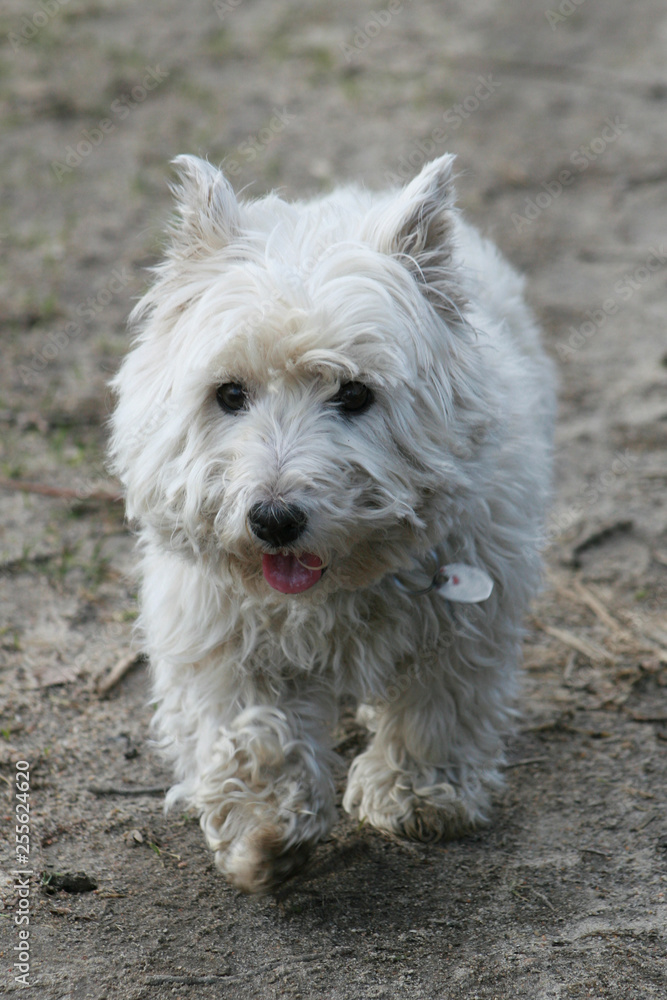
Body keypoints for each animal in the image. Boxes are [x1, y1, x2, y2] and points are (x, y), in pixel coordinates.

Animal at [109, 154, 556, 892]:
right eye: (229, 393)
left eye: (354, 393)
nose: (273, 518)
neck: (333, 586)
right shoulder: (216, 628)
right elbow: (239, 717)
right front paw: (263, 816)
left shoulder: (467, 610)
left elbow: (438, 703)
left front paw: (418, 794)